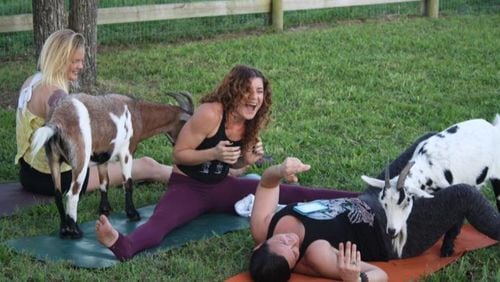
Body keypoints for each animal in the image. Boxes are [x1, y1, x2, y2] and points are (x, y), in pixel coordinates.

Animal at [30, 91, 192, 239]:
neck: (137, 113)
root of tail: (56, 121)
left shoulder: (102, 157)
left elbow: (104, 183)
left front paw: (105, 210)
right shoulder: (126, 152)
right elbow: (128, 183)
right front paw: (133, 214)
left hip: (53, 159)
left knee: (57, 193)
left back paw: (64, 230)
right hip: (80, 159)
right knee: (72, 194)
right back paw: (75, 231)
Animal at [362, 115, 500, 258]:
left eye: (406, 203)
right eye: (384, 203)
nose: (391, 231)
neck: (427, 166)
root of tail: (493, 128)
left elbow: (456, 220)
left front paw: (446, 250)